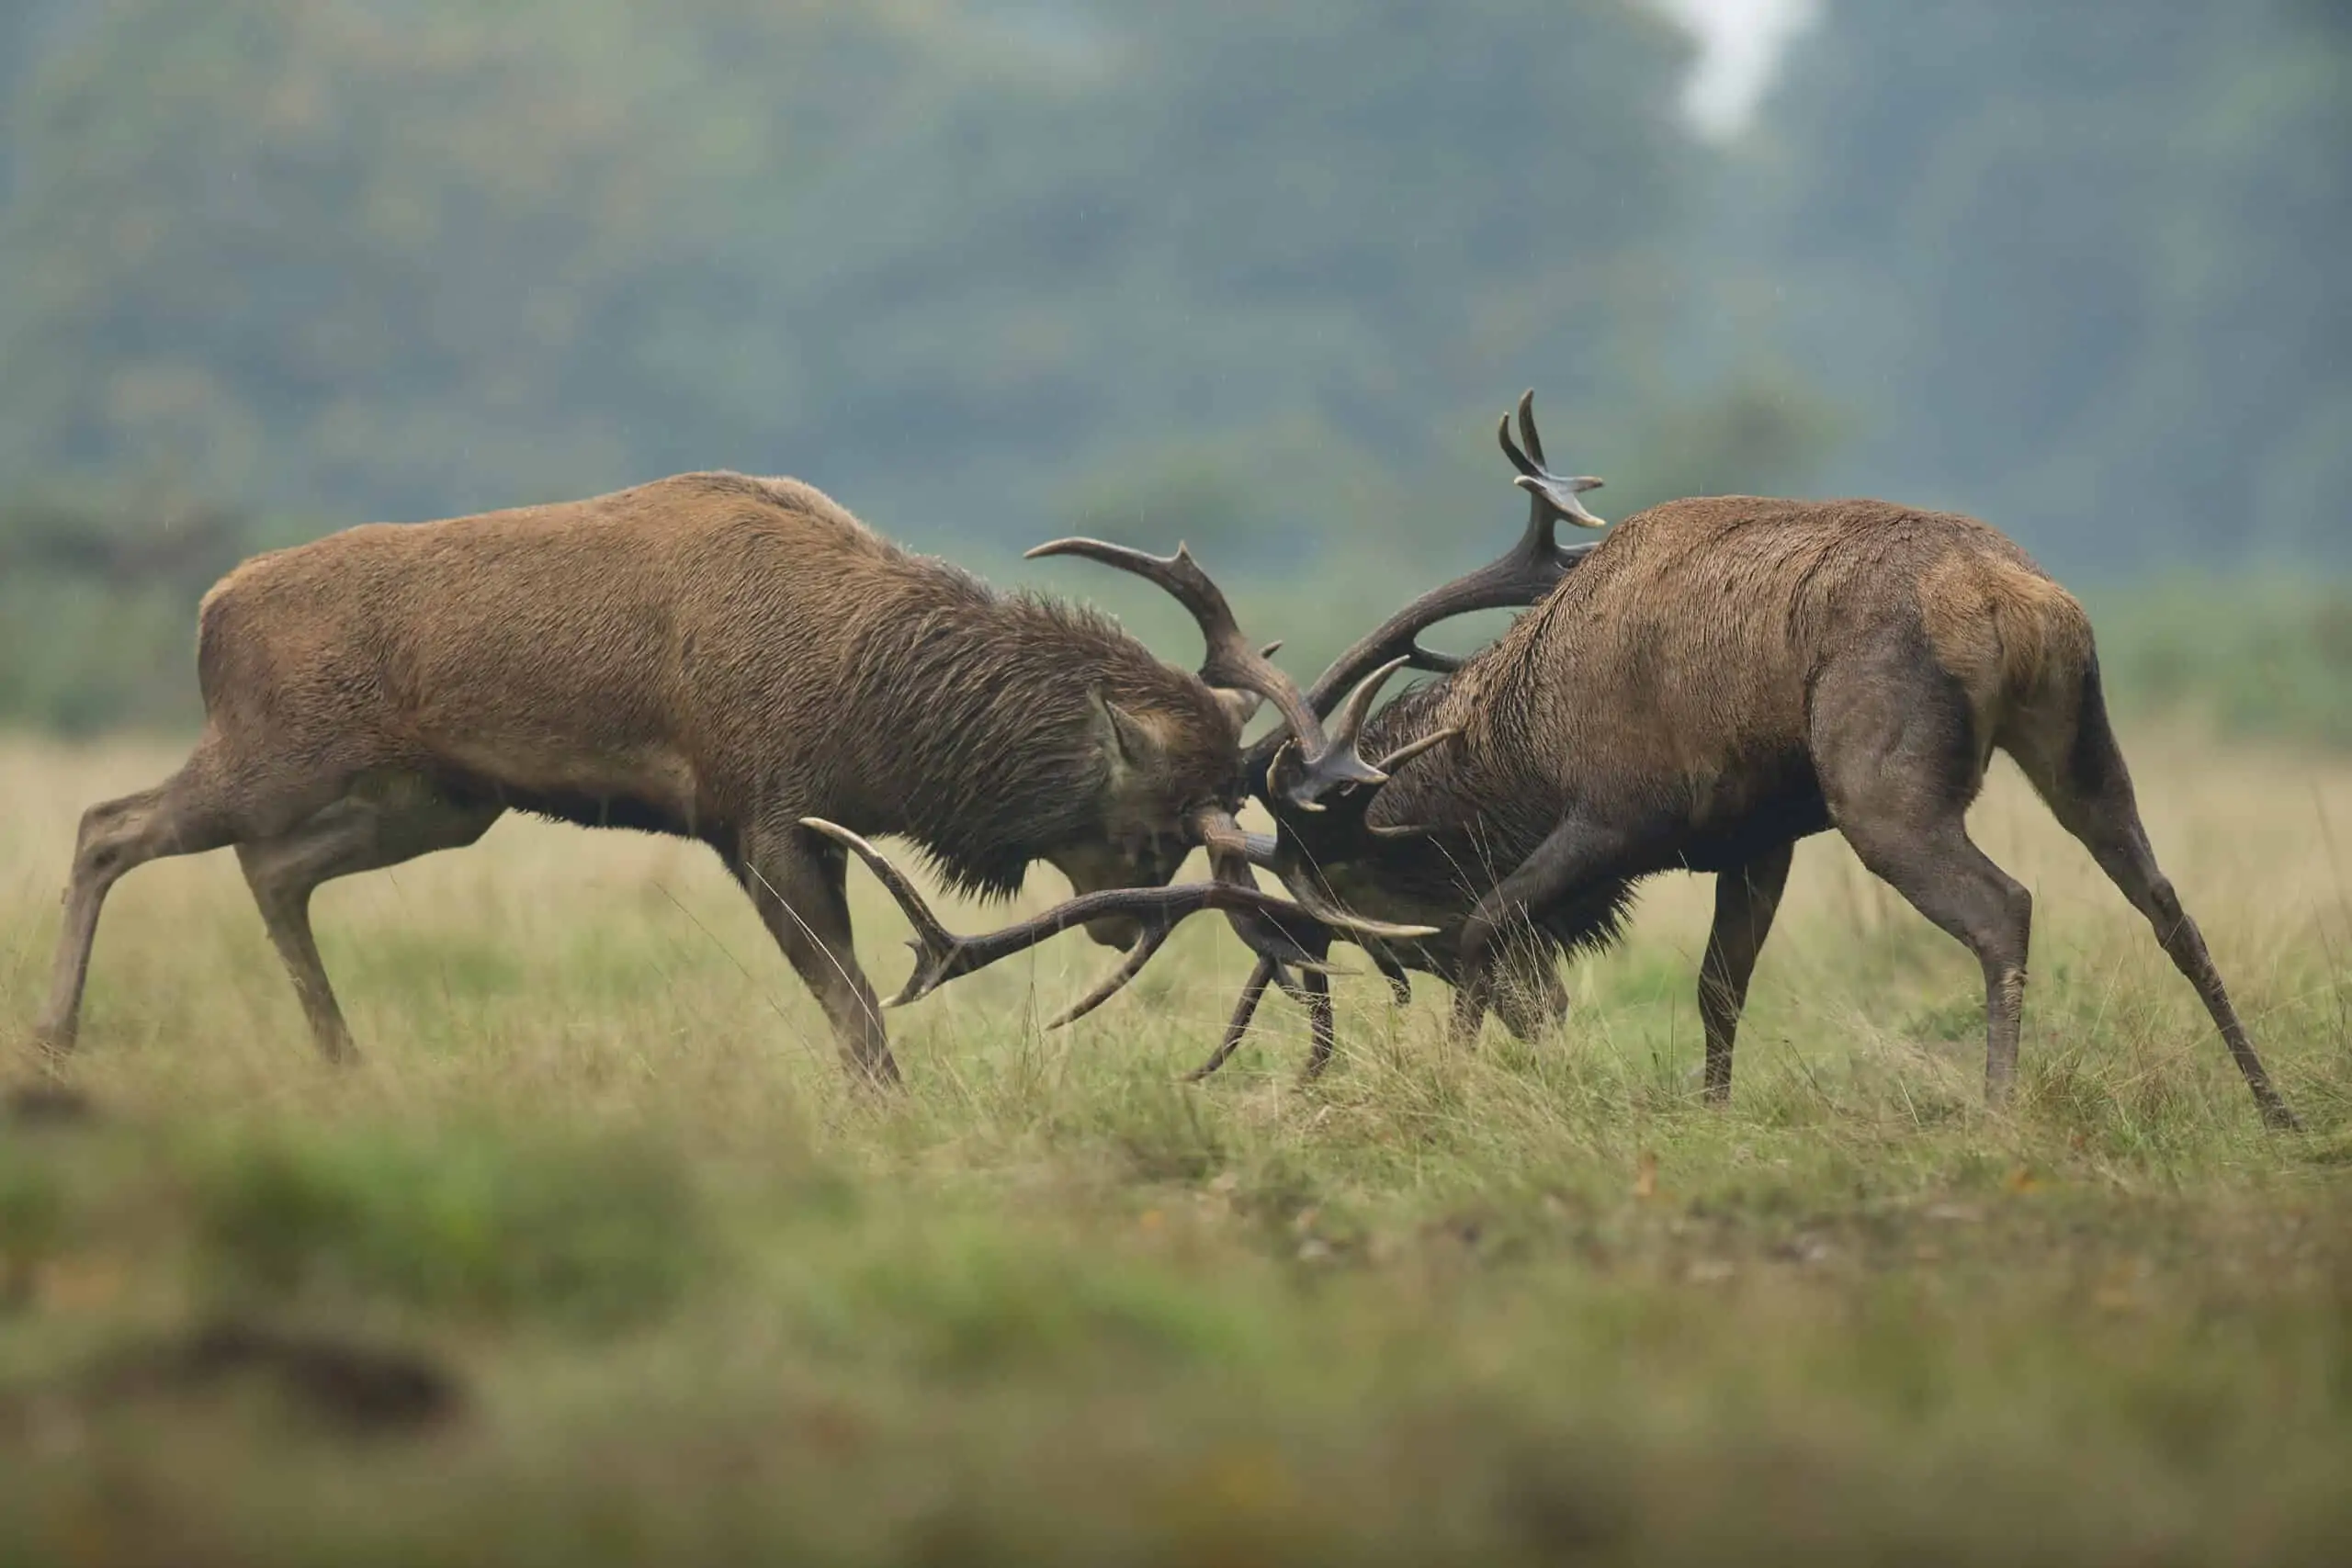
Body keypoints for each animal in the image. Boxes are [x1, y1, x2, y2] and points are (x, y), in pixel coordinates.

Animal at [27, 470, 1433, 1086]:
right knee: (111, 822)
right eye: (1146, 827)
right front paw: (884, 1116)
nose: (1120, 925)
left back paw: (341, 1058)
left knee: (275, 871)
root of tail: (209, 609)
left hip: (437, 802)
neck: (878, 707)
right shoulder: (759, 813)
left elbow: (847, 1000)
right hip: (277, 752)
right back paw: (54, 1037)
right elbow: (855, 1006)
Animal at [838, 395, 2299, 1129]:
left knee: (2009, 907)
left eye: (1349, 878)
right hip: (2082, 739)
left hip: (1884, 779)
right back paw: (2272, 1103)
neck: (1518, 734)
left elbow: (1496, 918)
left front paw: (1463, 1073)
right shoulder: (1756, 835)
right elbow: (1716, 989)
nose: (1541, 1014)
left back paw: (1999, 1116)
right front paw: (1707, 1119)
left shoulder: (1622, 809)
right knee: (2161, 895)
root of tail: (2017, 598)